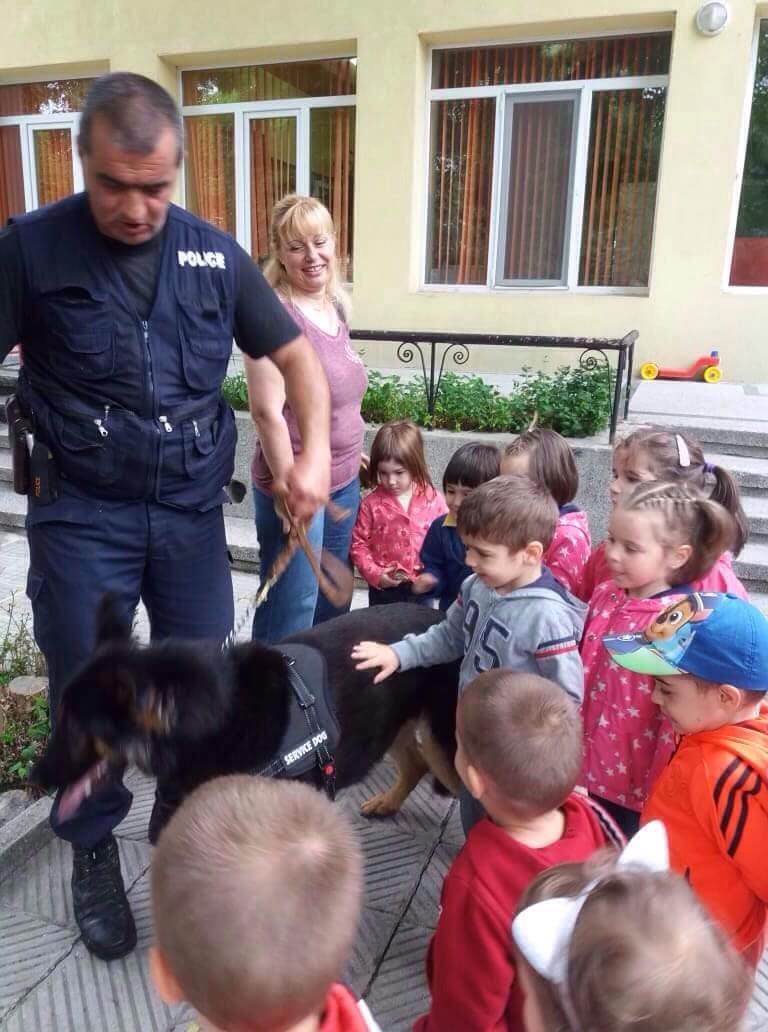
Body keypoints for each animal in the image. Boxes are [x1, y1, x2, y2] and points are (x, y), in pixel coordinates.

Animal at [32, 598, 461, 832]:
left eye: (75, 726)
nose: (36, 777)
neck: (216, 717)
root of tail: (443, 619)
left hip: (447, 746)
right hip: (395, 726)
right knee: (416, 765)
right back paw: (387, 802)